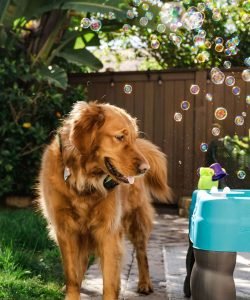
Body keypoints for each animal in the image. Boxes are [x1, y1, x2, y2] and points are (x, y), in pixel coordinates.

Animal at [37, 102, 172, 298]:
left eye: (134, 138)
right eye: (120, 137)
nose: (145, 168)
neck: (84, 180)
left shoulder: (108, 232)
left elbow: (109, 282)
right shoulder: (66, 230)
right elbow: (72, 276)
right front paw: (72, 291)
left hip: (136, 221)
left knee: (141, 253)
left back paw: (145, 283)